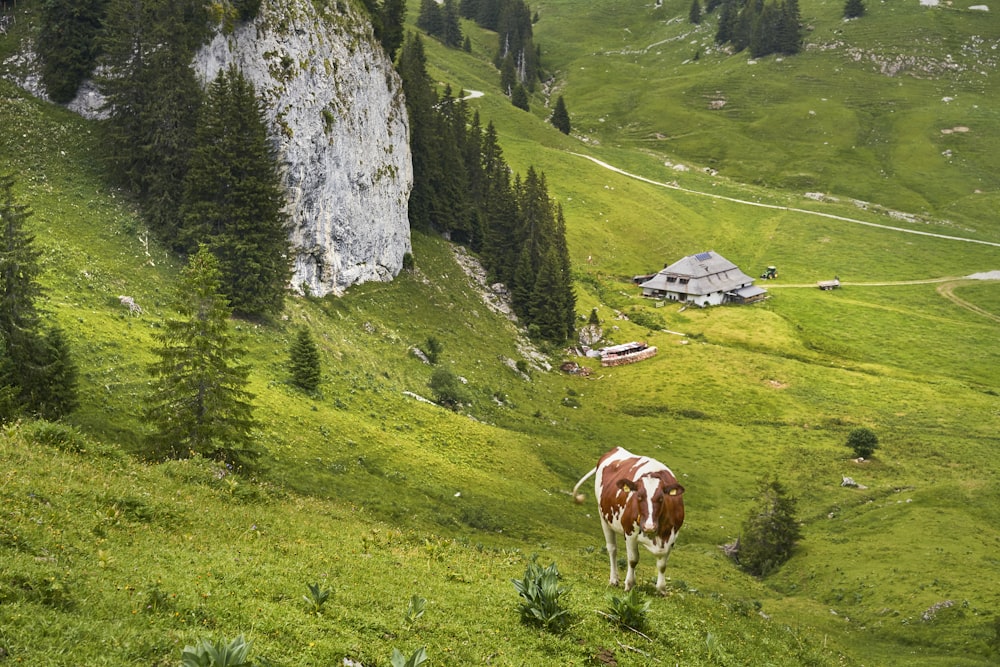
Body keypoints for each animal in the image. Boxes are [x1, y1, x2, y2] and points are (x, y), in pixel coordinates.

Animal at [576, 448, 684, 596]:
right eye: (638, 496)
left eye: (661, 498)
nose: (649, 526)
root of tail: (615, 449)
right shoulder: (630, 532)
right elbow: (633, 560)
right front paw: (629, 584)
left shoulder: (672, 536)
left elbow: (662, 564)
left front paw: (662, 589)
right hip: (604, 518)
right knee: (612, 549)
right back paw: (614, 579)